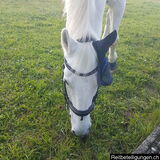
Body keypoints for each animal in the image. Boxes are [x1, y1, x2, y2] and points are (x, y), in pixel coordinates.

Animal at [61, 0, 126, 136]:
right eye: (66, 82)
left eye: (98, 84)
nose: (81, 131)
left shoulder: (120, 4)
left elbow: (115, 40)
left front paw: (112, 59)